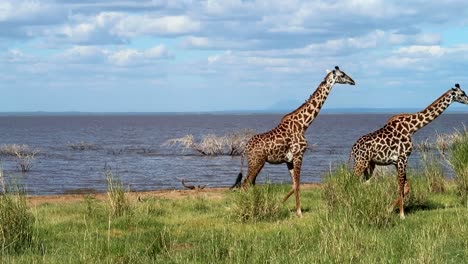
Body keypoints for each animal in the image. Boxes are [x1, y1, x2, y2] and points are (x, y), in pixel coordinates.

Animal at [232, 65, 356, 217]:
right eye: (342, 75)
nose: (353, 81)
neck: (303, 124)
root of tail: (246, 147)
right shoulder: (299, 155)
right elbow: (297, 184)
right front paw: (299, 212)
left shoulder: (289, 160)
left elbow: (294, 184)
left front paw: (278, 206)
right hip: (256, 161)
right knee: (245, 184)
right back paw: (245, 211)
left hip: (258, 162)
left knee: (249, 183)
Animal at [352, 83, 468, 219]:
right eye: (462, 94)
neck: (412, 127)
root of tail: (353, 149)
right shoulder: (403, 158)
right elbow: (401, 185)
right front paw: (402, 214)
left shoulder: (397, 162)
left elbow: (405, 187)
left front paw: (389, 209)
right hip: (361, 162)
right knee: (352, 179)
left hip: (370, 165)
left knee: (364, 183)